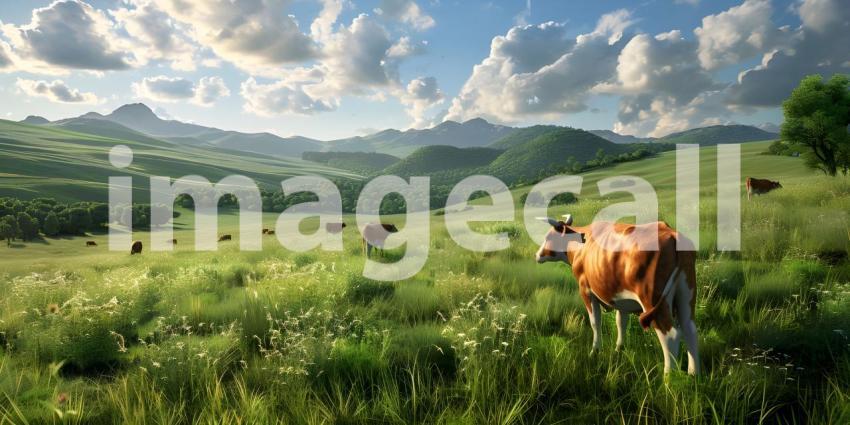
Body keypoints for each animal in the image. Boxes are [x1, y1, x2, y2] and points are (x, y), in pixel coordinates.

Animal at [535, 215, 699, 375]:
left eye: (548, 237)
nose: (537, 255)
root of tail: (672, 234)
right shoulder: (621, 298)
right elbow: (621, 322)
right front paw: (619, 349)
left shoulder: (585, 289)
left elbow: (595, 322)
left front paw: (595, 351)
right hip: (686, 295)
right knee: (690, 330)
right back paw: (693, 374)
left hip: (653, 300)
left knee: (670, 335)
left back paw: (668, 377)